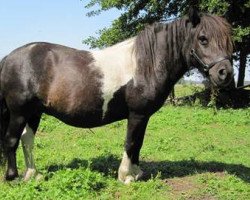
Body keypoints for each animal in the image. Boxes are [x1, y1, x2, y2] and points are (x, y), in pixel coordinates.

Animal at [0, 9, 233, 184]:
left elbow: (138, 143)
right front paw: (125, 177)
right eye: (203, 39)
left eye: (227, 40)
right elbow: (130, 142)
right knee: (11, 140)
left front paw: (137, 173)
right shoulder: (137, 114)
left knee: (27, 140)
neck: (145, 65)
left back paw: (33, 175)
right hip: (19, 112)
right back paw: (13, 177)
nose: (225, 73)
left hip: (34, 113)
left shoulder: (143, 116)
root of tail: (9, 58)